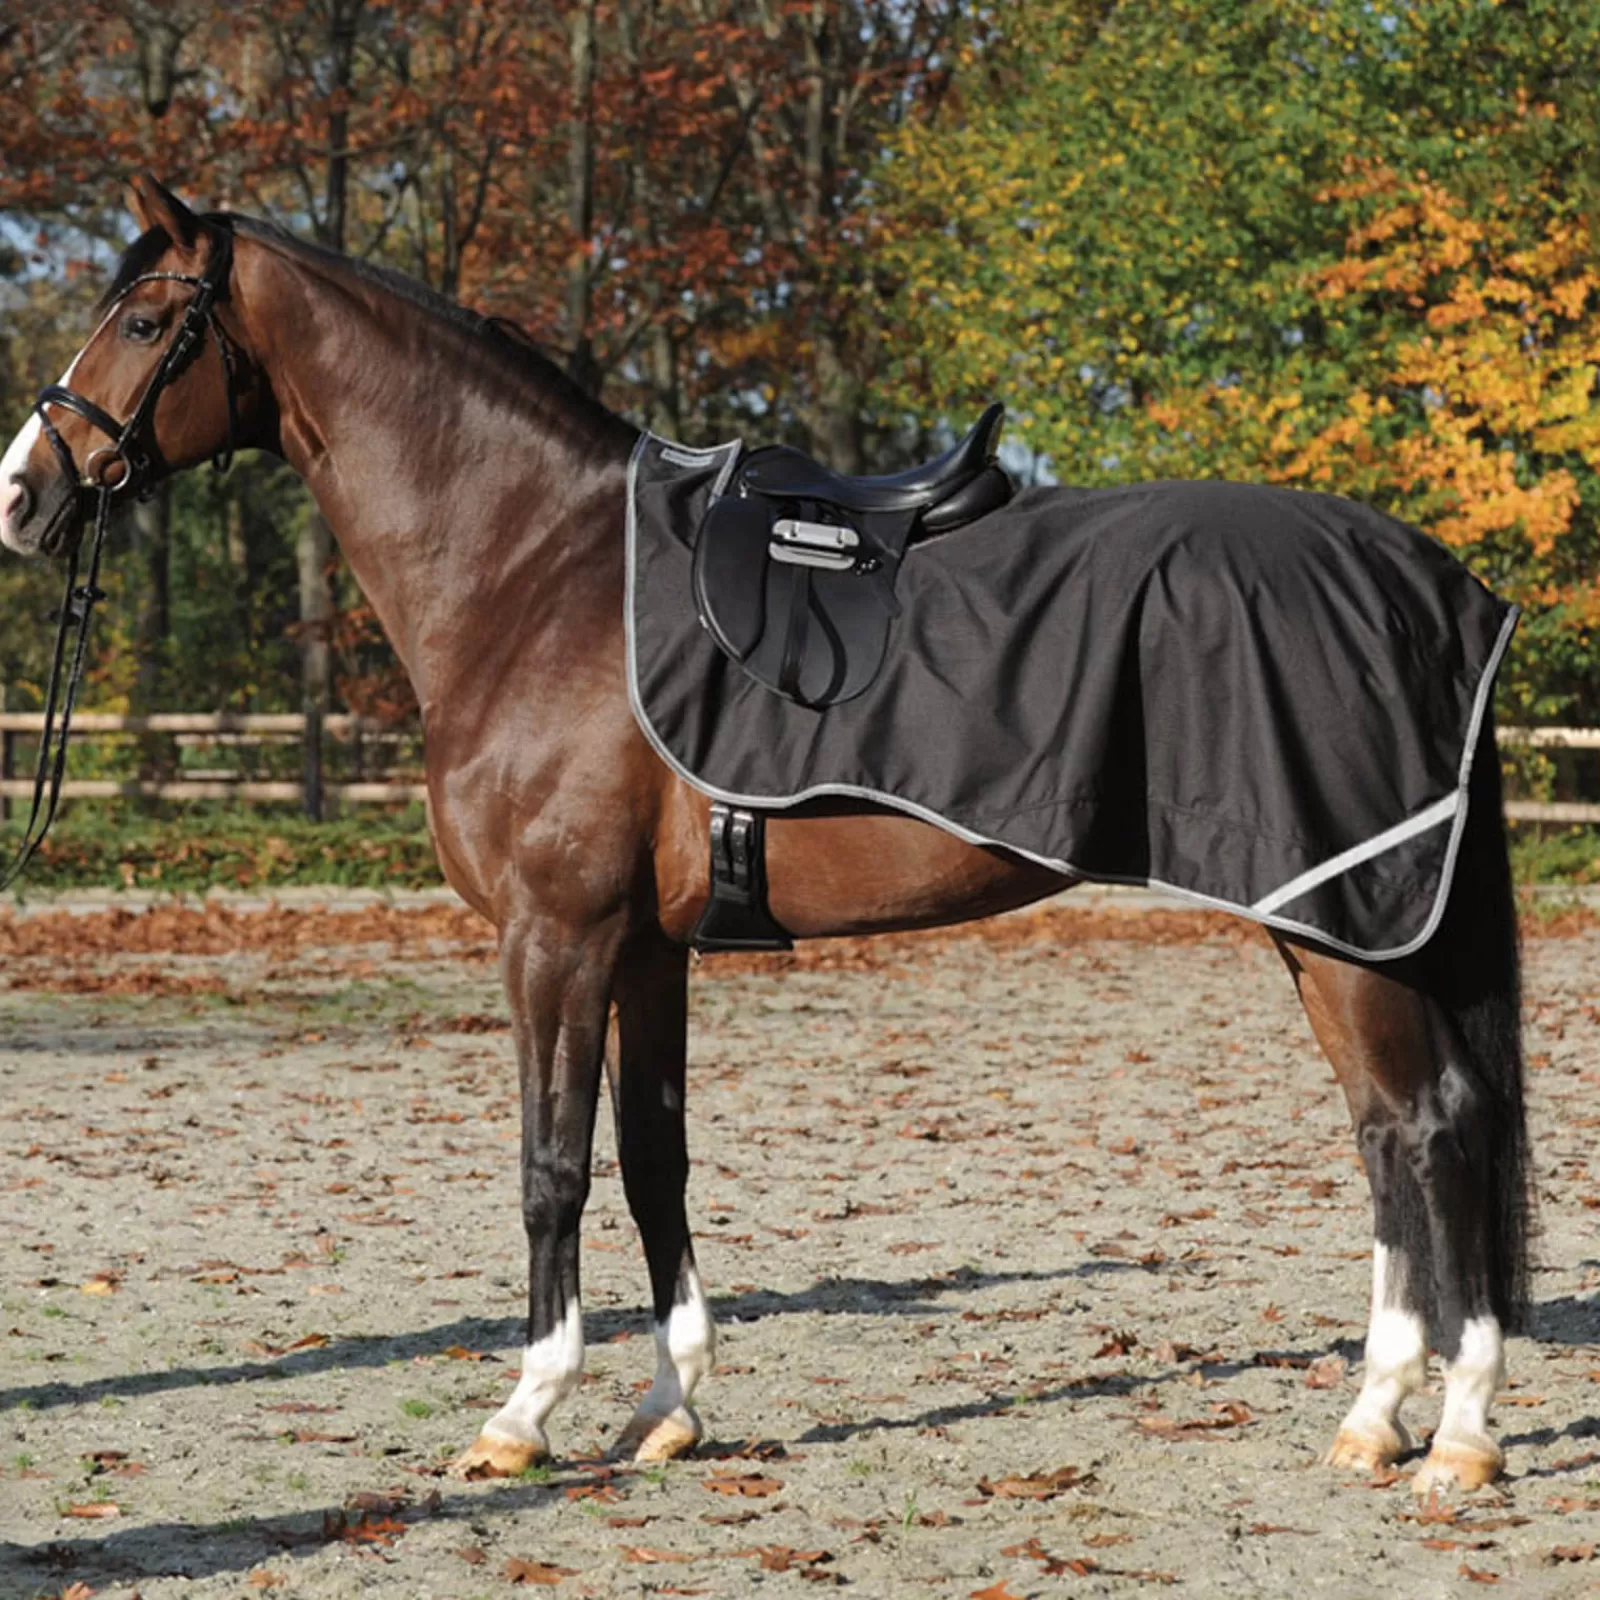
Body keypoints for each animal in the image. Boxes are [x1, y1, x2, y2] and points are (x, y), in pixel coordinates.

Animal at [0, 178, 1529, 1497]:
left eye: (142, 321)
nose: (23, 491)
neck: (537, 572)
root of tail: (1423, 580)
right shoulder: (645, 950)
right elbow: (651, 1160)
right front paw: (668, 1408)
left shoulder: (554, 939)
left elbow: (551, 1169)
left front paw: (522, 1413)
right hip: (1322, 922)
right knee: (1386, 1134)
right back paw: (1375, 1417)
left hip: (1344, 925)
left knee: (1427, 1126)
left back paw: (1453, 1433)